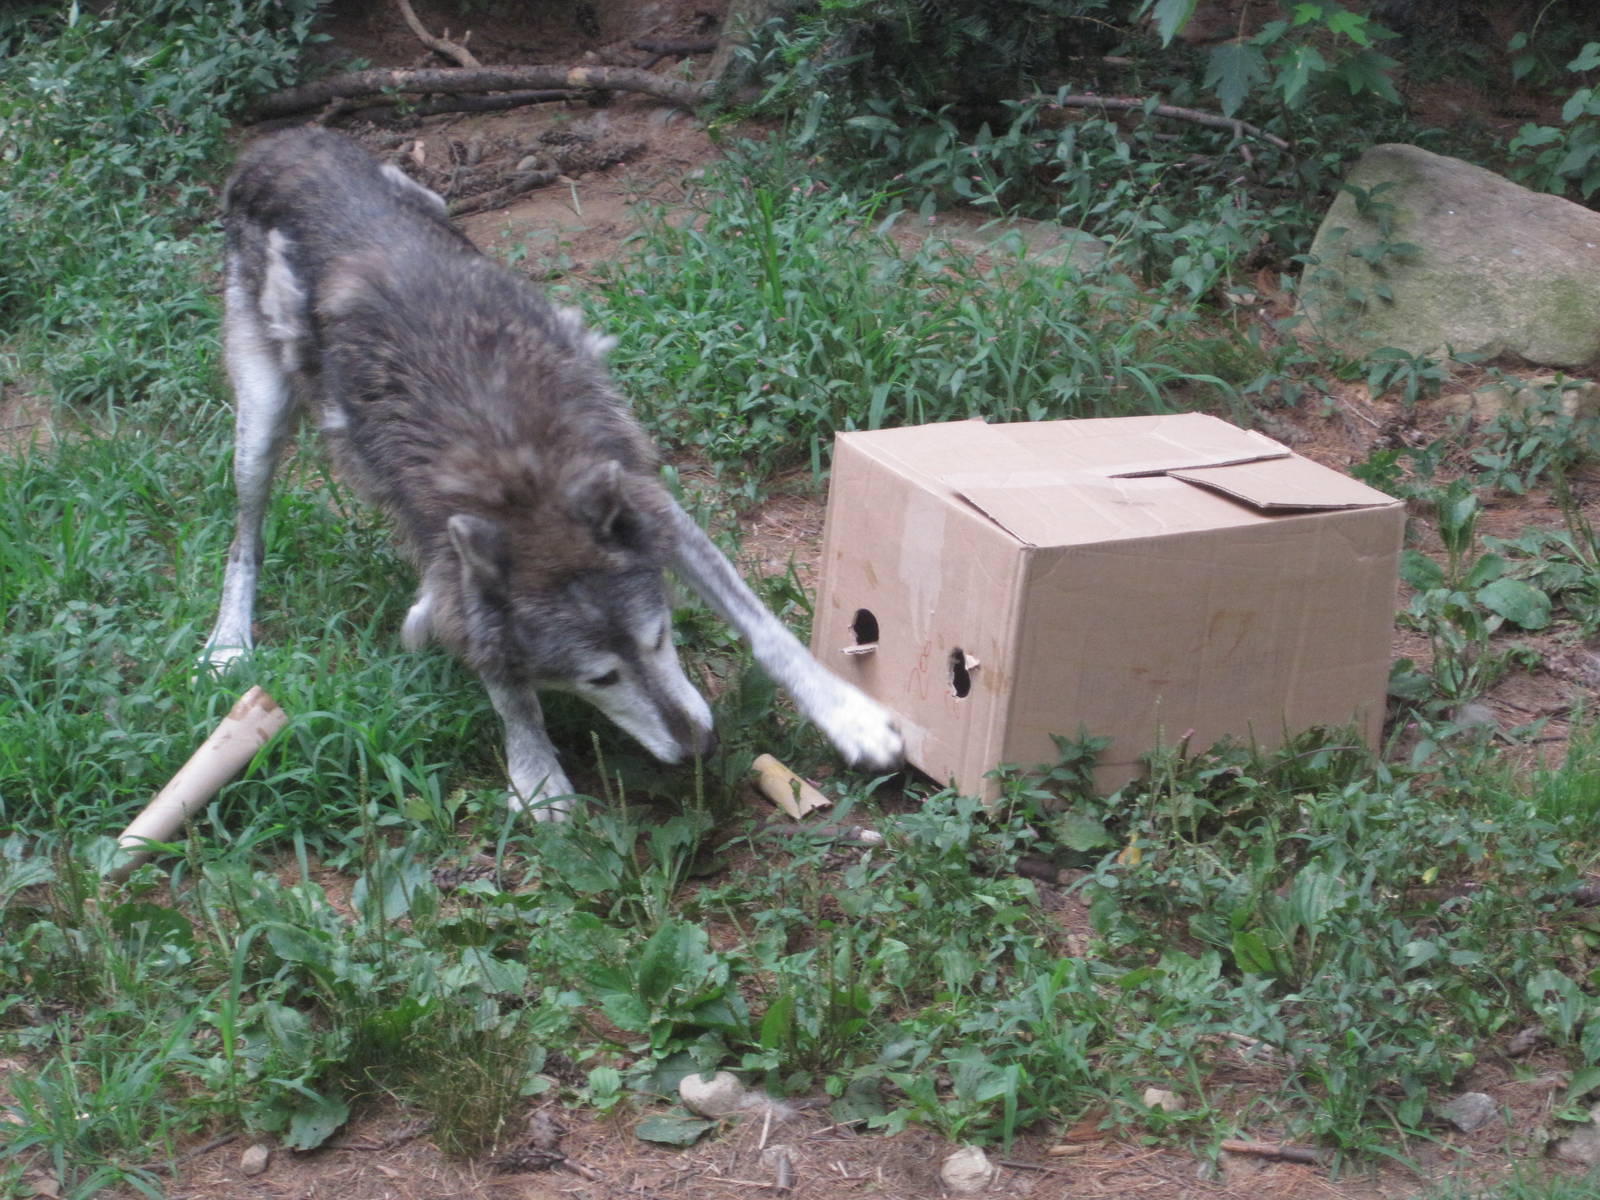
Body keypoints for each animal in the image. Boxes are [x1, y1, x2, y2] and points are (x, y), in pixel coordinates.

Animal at [203, 127, 902, 819]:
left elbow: (764, 627)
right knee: (244, 537)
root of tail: (281, 142)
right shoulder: (463, 558)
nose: (700, 749)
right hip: (261, 424)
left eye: (659, 639)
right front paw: (536, 773)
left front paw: (850, 717)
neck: (516, 477)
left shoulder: (651, 507)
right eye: (600, 678)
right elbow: (503, 680)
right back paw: (228, 645)